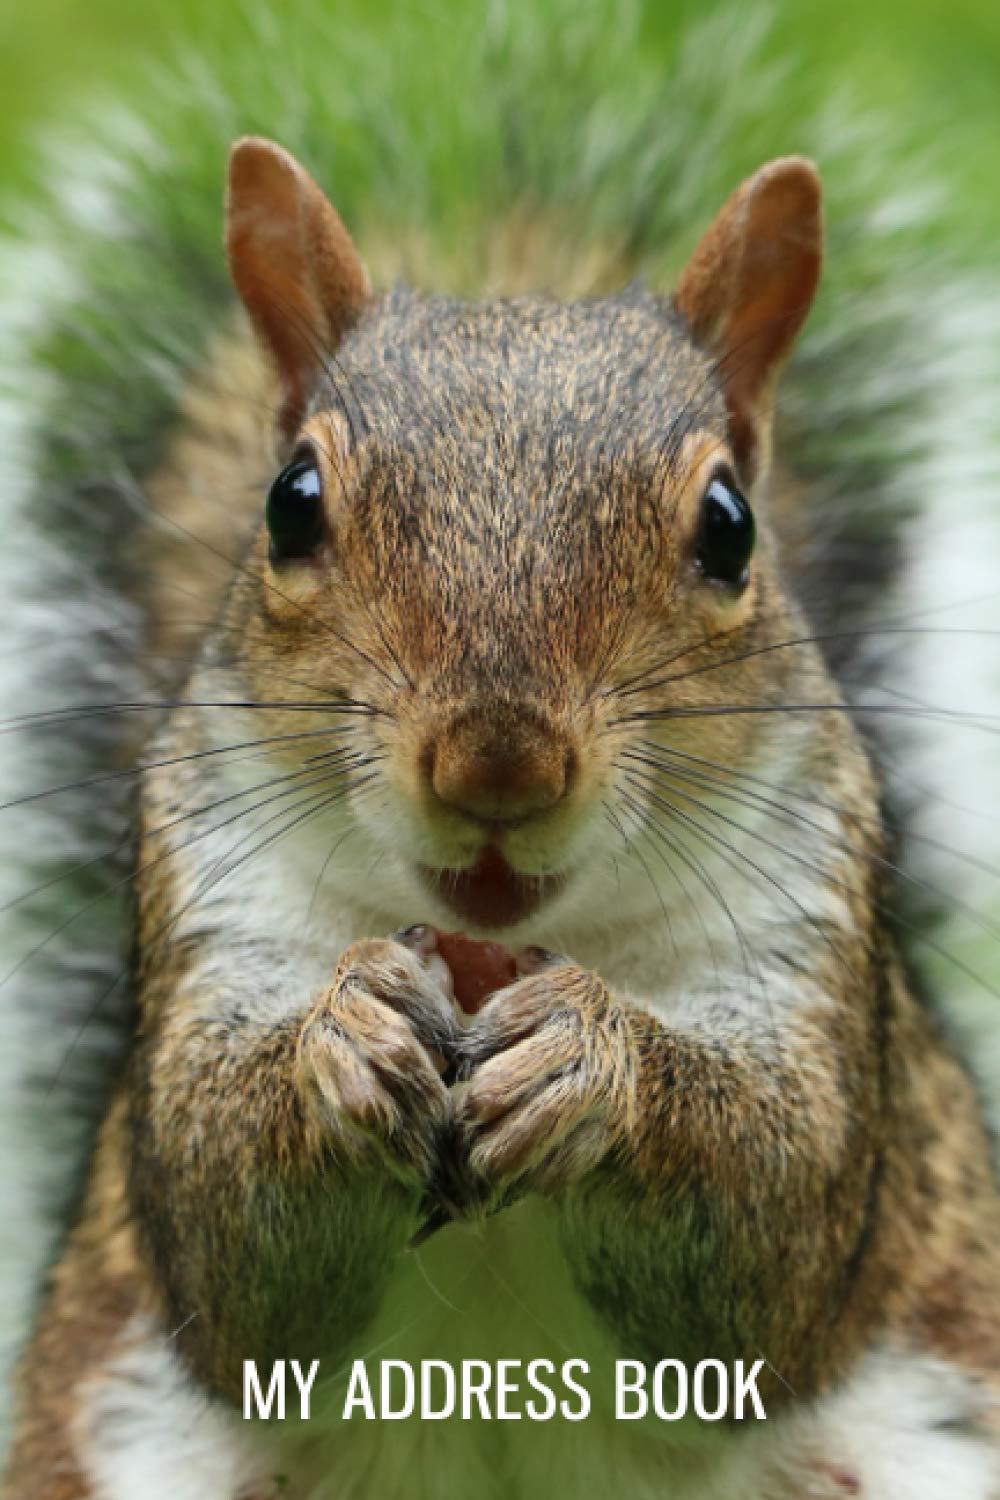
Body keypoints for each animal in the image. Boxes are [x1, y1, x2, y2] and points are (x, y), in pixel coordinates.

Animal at [3, 7, 1000, 1499]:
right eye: (289, 502)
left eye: (729, 527)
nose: (497, 769)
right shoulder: (210, 900)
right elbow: (226, 1235)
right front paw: (344, 1034)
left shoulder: (811, 937)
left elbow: (774, 1220)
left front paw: (594, 1058)